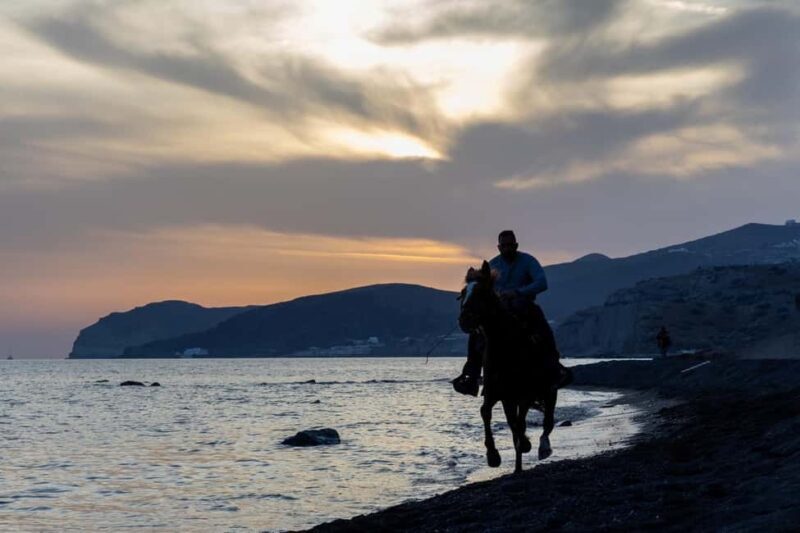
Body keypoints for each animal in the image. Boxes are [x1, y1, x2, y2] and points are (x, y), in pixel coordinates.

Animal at [457, 260, 563, 473]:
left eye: (481, 292)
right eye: (463, 292)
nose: (464, 320)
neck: (506, 345)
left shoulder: (524, 394)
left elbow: (521, 423)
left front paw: (525, 446)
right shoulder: (496, 393)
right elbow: (487, 413)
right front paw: (493, 456)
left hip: (549, 389)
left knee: (547, 420)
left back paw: (543, 448)